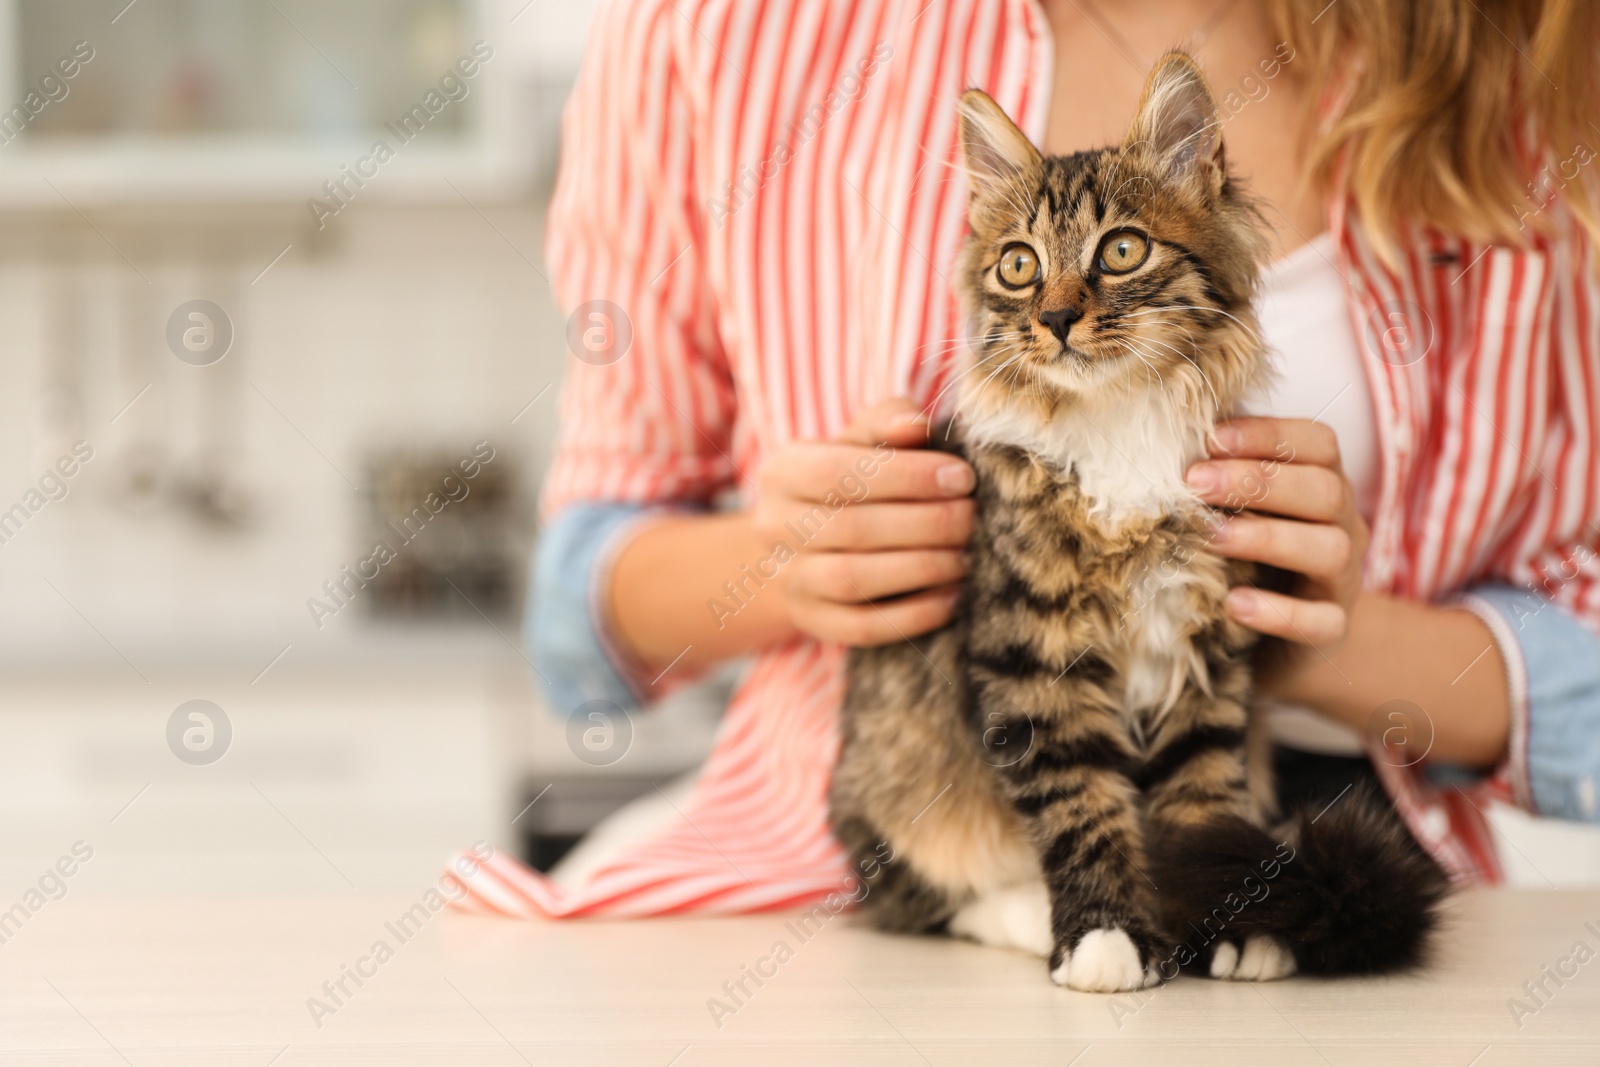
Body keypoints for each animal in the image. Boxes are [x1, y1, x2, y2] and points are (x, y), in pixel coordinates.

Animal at [832, 54, 1446, 998]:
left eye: (1121, 249)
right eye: (1018, 265)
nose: (1053, 317)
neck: (1120, 421)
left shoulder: (1209, 647)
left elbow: (1201, 795)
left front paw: (1236, 920)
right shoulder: (1036, 658)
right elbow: (1083, 806)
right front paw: (1107, 936)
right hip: (892, 766)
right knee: (919, 893)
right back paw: (1022, 913)